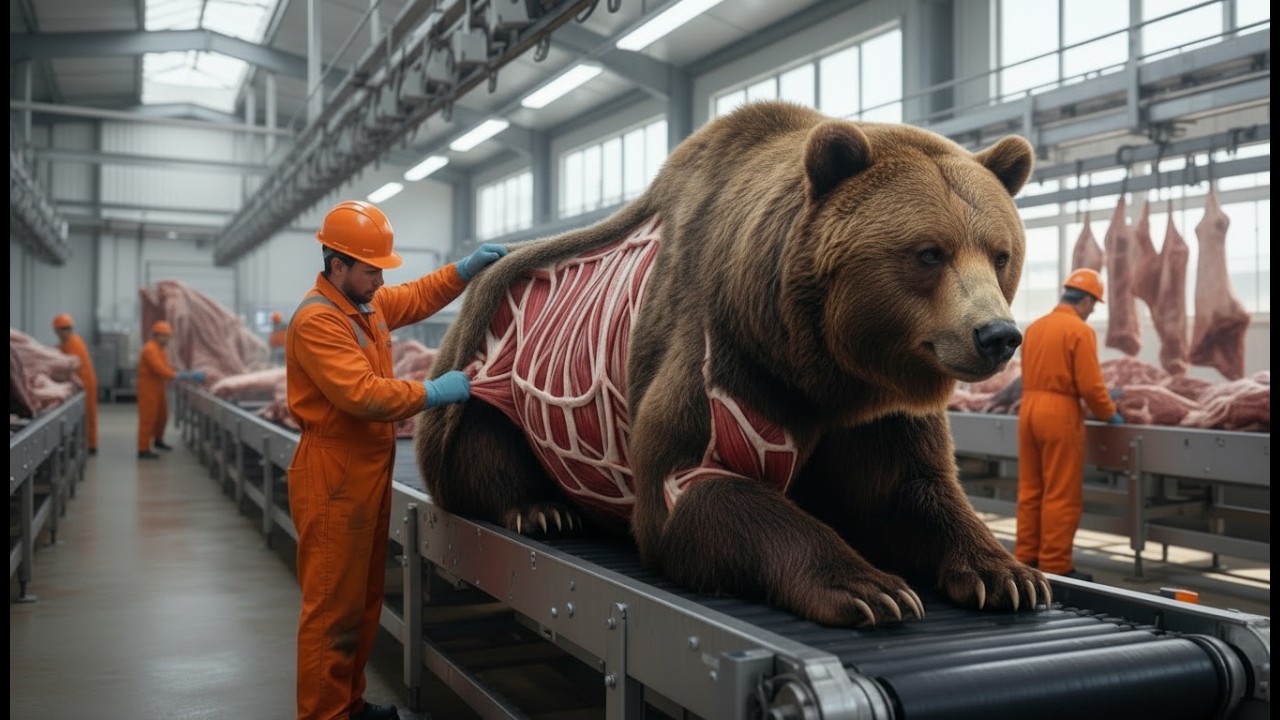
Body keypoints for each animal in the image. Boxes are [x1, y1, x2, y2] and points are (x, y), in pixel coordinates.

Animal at [415, 100, 1049, 626]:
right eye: (928, 253)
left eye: (1000, 254)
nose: (997, 335)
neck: (820, 364)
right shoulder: (721, 357)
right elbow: (692, 487)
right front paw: (871, 587)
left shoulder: (878, 405)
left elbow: (909, 488)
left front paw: (1008, 574)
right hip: (491, 371)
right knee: (476, 446)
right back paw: (540, 509)